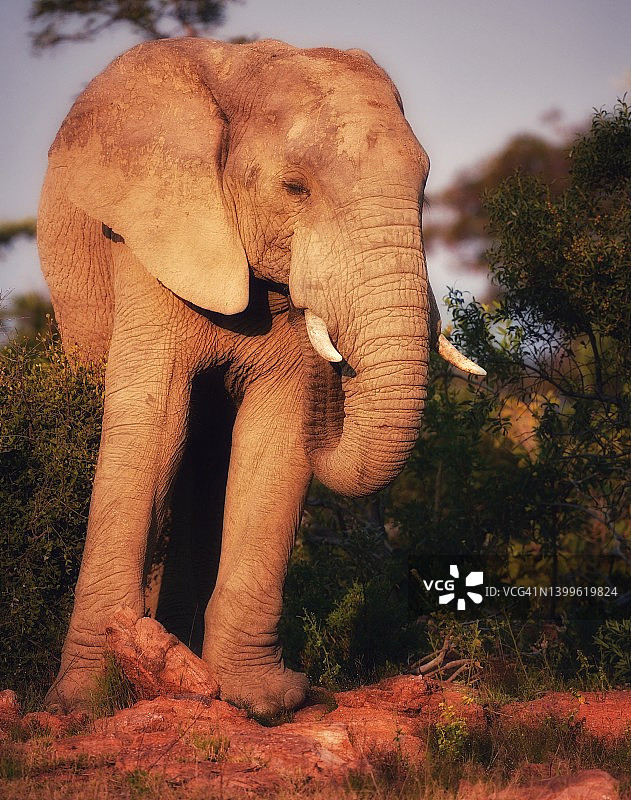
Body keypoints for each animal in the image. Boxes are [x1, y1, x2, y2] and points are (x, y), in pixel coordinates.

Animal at [37, 37, 484, 714]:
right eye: (295, 188)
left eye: (425, 192)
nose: (337, 378)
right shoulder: (149, 237)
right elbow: (153, 424)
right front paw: (84, 702)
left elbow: (276, 435)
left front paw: (265, 702)